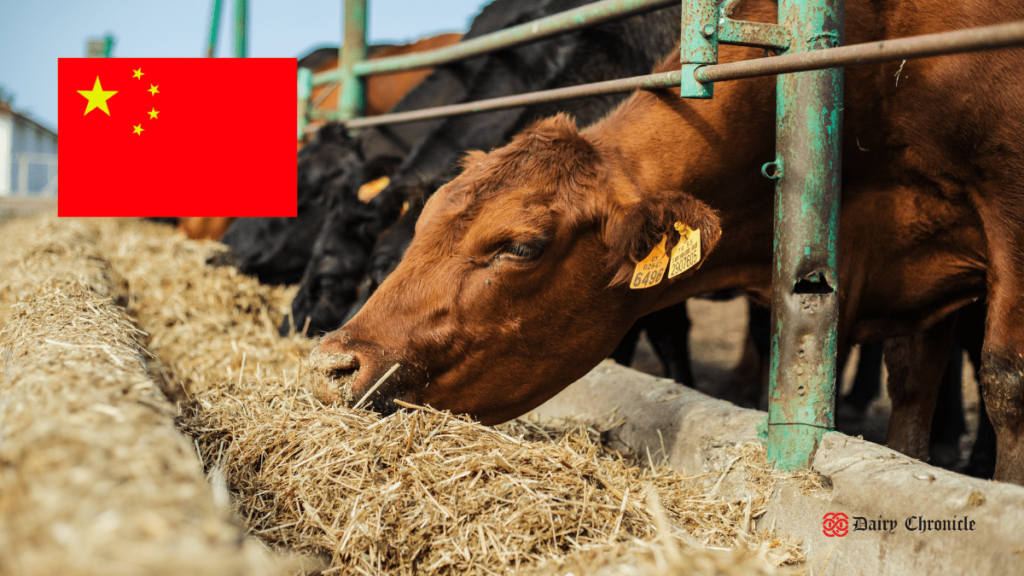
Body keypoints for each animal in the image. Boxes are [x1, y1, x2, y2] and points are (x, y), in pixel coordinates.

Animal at [311, 0, 1024, 481]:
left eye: (521, 246)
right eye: (422, 226)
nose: (332, 365)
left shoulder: (1005, 195)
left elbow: (1004, 378)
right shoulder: (916, 279)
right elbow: (911, 392)